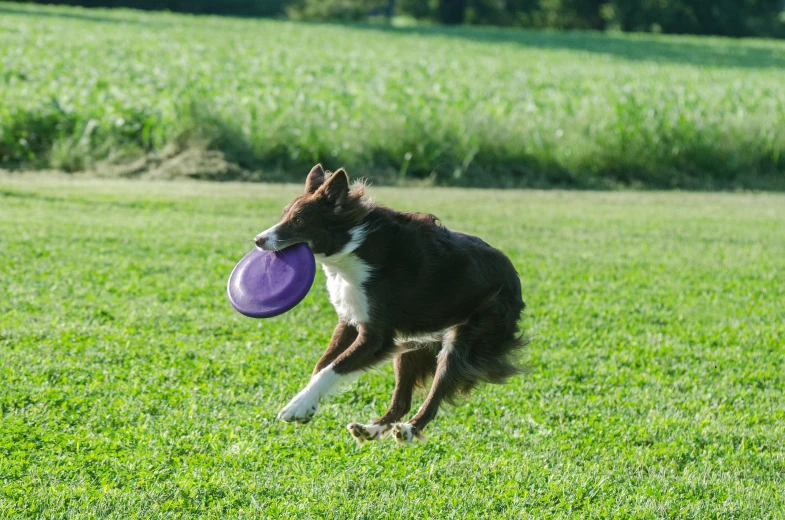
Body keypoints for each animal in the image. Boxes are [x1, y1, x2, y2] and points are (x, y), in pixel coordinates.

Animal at [256, 166, 528, 442]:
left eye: (299, 220)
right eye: (284, 215)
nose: (258, 240)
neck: (352, 247)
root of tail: (514, 277)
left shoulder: (376, 337)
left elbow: (335, 366)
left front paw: (297, 406)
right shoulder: (349, 321)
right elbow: (322, 364)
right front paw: (307, 403)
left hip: (466, 335)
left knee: (436, 391)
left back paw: (409, 429)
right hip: (414, 341)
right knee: (402, 401)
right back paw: (370, 429)